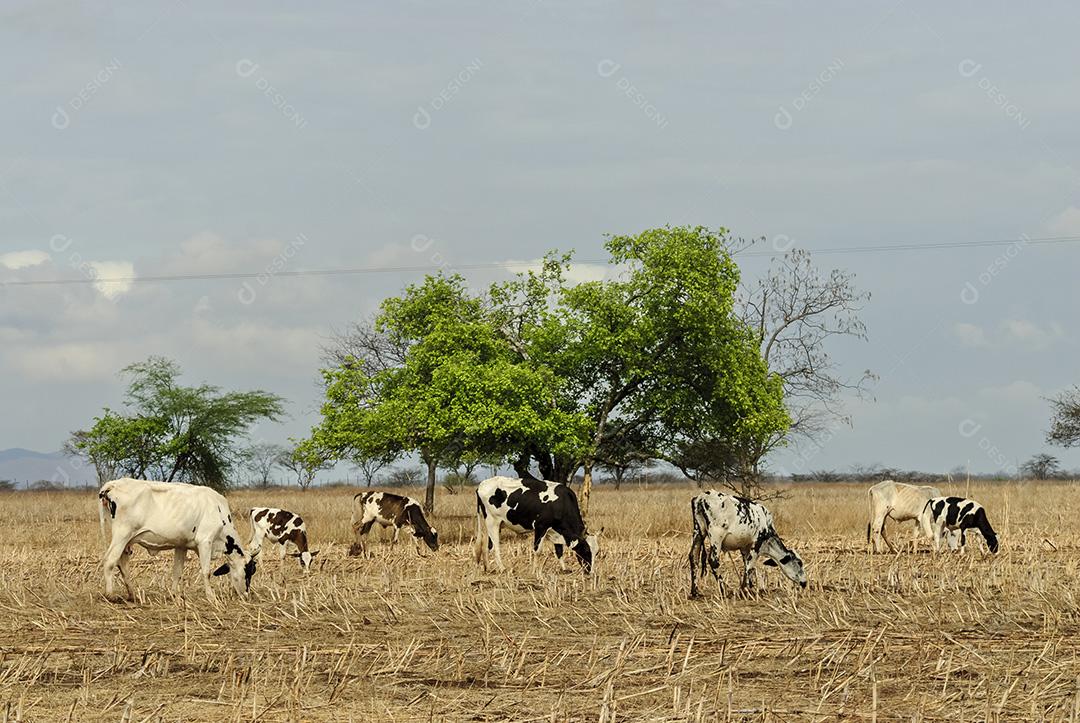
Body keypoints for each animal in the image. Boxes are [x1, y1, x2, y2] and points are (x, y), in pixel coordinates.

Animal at [97, 475, 257, 600]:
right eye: (248, 571)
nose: (247, 596)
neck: (218, 510)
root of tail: (113, 484)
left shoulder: (181, 545)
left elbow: (177, 572)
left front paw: (175, 595)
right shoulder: (205, 542)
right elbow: (206, 572)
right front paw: (211, 597)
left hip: (126, 540)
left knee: (122, 563)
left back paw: (132, 595)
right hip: (122, 535)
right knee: (110, 560)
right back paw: (110, 595)